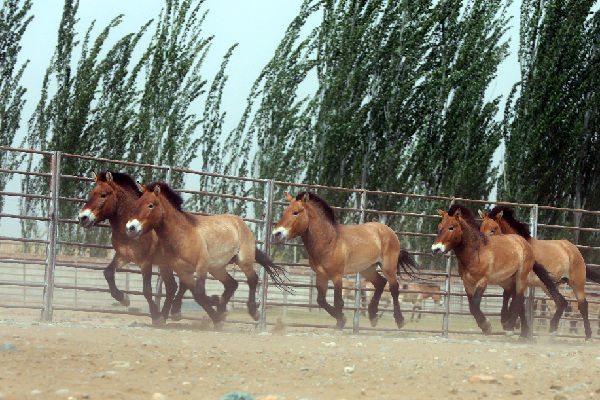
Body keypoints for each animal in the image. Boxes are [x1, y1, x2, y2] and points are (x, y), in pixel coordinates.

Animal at [78, 171, 184, 324]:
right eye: (91, 194)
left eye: (103, 195)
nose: (83, 218)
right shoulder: (124, 256)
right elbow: (108, 273)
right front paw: (124, 299)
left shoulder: (146, 262)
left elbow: (147, 290)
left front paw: (155, 316)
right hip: (165, 265)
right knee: (172, 287)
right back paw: (166, 315)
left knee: (183, 284)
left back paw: (175, 312)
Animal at [125, 181, 290, 328]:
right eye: (137, 203)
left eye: (150, 205)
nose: (131, 227)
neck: (181, 234)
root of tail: (239, 222)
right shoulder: (182, 270)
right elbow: (194, 292)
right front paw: (216, 313)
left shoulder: (201, 266)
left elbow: (198, 293)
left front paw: (215, 312)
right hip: (217, 268)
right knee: (232, 284)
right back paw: (222, 309)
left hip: (243, 261)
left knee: (252, 280)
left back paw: (253, 312)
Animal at [270, 192, 420, 330]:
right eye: (284, 212)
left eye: (295, 212)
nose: (276, 234)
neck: (329, 241)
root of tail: (389, 231)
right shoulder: (321, 276)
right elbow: (321, 301)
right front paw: (341, 319)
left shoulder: (337, 276)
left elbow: (338, 301)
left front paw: (340, 323)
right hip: (367, 268)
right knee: (380, 283)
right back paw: (373, 316)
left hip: (388, 267)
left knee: (394, 289)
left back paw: (399, 320)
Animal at [432, 203, 564, 338]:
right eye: (439, 227)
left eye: (451, 227)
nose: (436, 249)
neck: (475, 251)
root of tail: (524, 243)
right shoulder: (467, 283)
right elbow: (471, 305)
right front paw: (485, 326)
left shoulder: (483, 280)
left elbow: (475, 303)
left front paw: (486, 326)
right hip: (510, 280)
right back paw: (523, 334)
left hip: (521, 277)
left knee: (518, 299)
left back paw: (511, 327)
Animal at [478, 206, 600, 340]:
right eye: (481, 228)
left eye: (493, 230)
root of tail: (573, 249)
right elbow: (515, 302)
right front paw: (519, 330)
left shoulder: (520, 281)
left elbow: (517, 302)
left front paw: (511, 325)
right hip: (549, 286)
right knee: (561, 302)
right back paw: (552, 330)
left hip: (576, 283)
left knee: (583, 305)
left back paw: (588, 336)